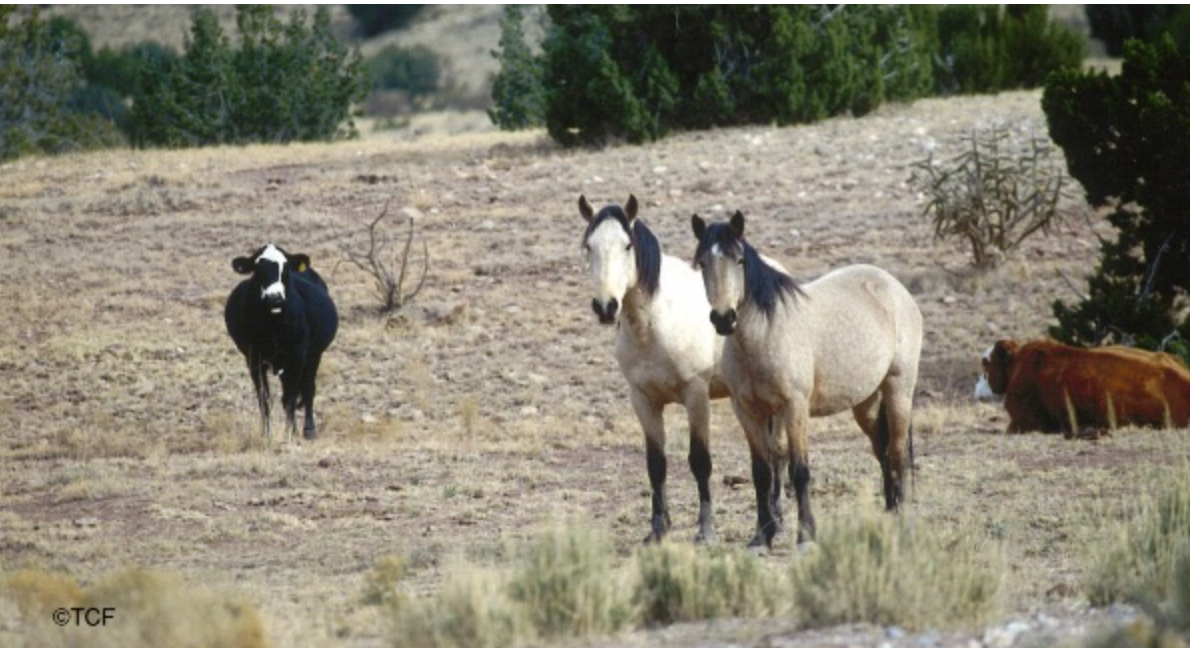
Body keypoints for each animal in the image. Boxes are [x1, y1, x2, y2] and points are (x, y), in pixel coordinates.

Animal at [578, 194, 735, 544]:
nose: (606, 306)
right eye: (588, 246)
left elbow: (699, 460)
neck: (653, 325)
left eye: (627, 245)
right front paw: (658, 529)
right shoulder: (643, 400)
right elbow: (656, 465)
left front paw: (706, 530)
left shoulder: (696, 396)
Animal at [691, 211, 923, 548]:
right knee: (882, 449)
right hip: (865, 403)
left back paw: (901, 518)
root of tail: (894, 287)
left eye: (739, 260)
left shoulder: (794, 407)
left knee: (896, 452)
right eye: (702, 263)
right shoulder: (747, 411)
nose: (724, 318)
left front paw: (806, 537)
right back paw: (890, 513)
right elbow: (761, 473)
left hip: (899, 390)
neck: (763, 335)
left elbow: (799, 471)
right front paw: (762, 537)